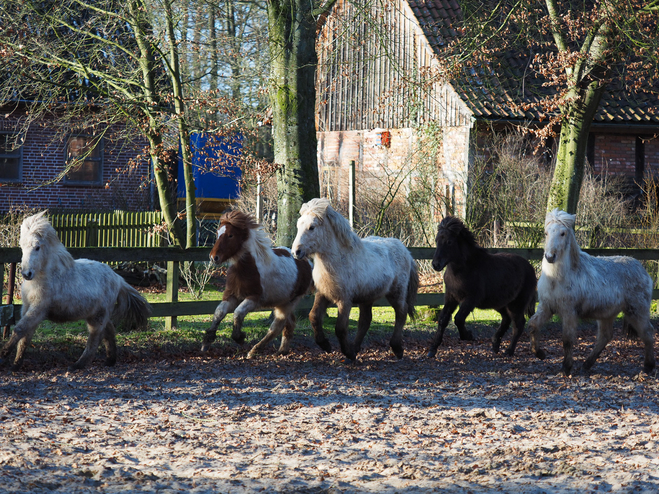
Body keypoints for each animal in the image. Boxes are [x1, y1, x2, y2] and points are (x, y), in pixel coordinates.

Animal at [0, 212, 151, 370]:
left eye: (37, 247)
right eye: (22, 246)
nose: (26, 274)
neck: (47, 275)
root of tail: (118, 278)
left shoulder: (39, 309)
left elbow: (19, 329)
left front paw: (4, 355)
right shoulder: (27, 307)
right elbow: (24, 338)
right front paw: (16, 364)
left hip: (98, 317)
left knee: (94, 340)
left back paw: (78, 365)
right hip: (96, 314)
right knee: (109, 330)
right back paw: (110, 360)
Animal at [202, 209, 314, 358]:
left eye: (231, 235)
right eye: (217, 233)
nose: (213, 258)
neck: (247, 268)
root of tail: (307, 262)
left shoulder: (254, 298)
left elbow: (238, 313)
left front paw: (239, 337)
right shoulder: (231, 296)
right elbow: (219, 312)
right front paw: (206, 342)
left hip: (289, 302)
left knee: (277, 326)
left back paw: (254, 350)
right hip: (283, 301)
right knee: (290, 323)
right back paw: (282, 350)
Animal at [292, 199, 418, 360]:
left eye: (311, 227)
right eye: (298, 225)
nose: (296, 252)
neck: (339, 260)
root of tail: (406, 251)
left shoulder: (345, 301)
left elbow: (340, 328)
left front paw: (348, 353)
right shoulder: (323, 294)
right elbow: (313, 316)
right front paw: (325, 345)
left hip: (397, 293)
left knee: (401, 313)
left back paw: (397, 348)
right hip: (367, 298)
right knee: (365, 320)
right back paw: (356, 347)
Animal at [428, 218, 536, 356]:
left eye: (449, 242)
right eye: (437, 240)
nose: (436, 264)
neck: (464, 269)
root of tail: (530, 268)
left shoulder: (471, 299)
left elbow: (458, 319)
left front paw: (467, 335)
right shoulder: (451, 298)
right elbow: (442, 320)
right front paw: (432, 349)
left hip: (516, 304)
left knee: (518, 325)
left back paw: (509, 351)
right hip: (500, 304)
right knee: (506, 319)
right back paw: (495, 345)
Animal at [528, 207, 656, 374]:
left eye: (563, 233)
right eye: (546, 233)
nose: (550, 257)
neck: (558, 278)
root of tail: (642, 269)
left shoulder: (569, 312)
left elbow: (567, 340)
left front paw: (566, 367)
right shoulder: (546, 307)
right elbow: (533, 326)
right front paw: (540, 354)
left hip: (637, 311)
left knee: (647, 333)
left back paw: (649, 366)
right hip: (607, 314)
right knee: (605, 336)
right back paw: (587, 364)